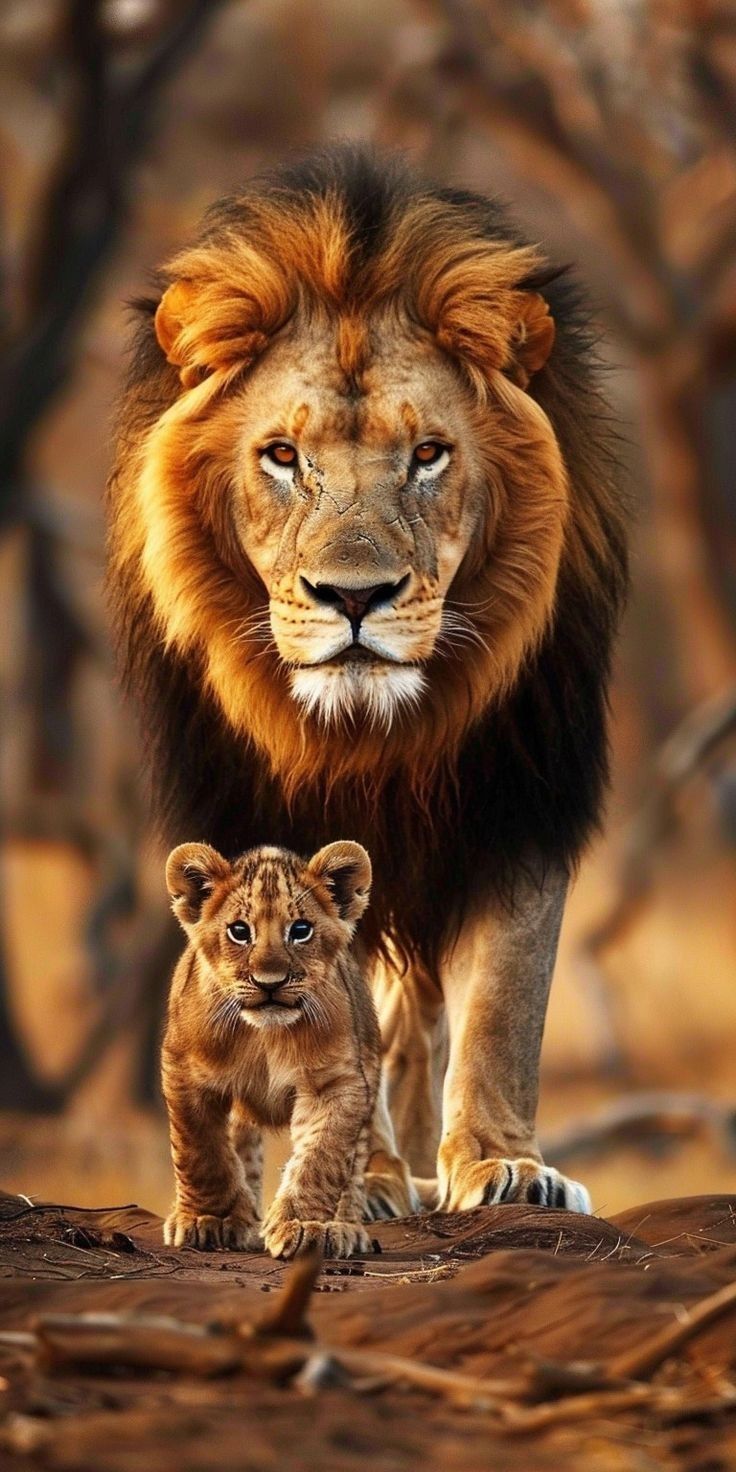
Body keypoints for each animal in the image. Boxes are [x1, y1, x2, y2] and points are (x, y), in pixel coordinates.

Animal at [107, 146, 627, 1218]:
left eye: (427, 455)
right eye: (282, 456)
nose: (355, 596)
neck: (372, 735)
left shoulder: (520, 800)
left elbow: (505, 999)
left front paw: (504, 1167)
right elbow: (331, 1011)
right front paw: (368, 1181)